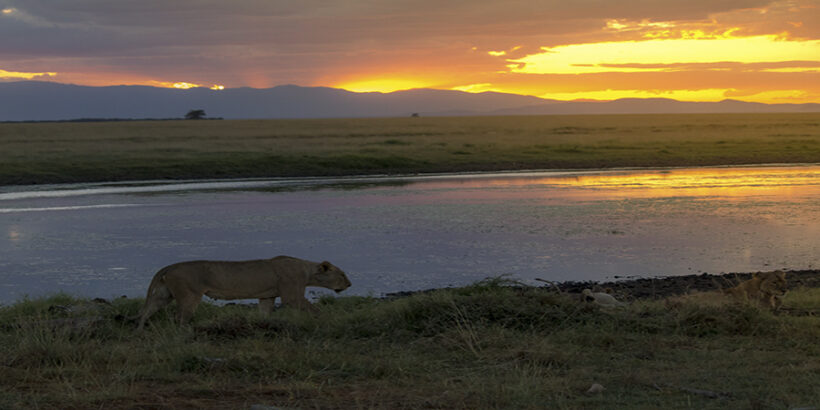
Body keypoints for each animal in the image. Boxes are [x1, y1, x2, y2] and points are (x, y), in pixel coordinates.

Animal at [134, 256, 351, 329]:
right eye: (342, 274)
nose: (349, 284)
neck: (307, 270)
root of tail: (169, 267)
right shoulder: (292, 296)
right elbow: (313, 308)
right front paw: (328, 319)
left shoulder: (266, 296)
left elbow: (265, 313)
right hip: (190, 295)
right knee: (179, 317)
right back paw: (185, 333)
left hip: (163, 295)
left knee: (146, 312)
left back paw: (139, 332)